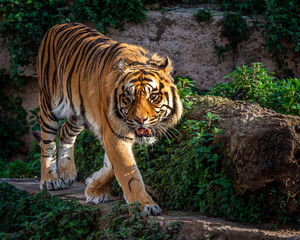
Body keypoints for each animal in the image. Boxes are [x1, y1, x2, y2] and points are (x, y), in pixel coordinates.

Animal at [37, 23, 183, 216]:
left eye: (153, 96)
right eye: (128, 98)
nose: (140, 119)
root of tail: (57, 25)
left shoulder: (113, 134)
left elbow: (111, 167)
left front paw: (94, 188)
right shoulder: (114, 133)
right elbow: (128, 172)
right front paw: (145, 204)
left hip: (78, 113)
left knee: (66, 131)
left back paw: (67, 172)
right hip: (48, 104)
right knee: (47, 143)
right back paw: (50, 180)